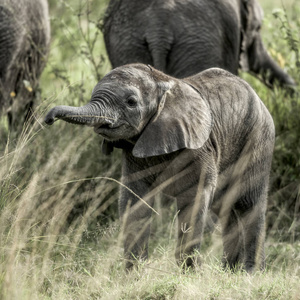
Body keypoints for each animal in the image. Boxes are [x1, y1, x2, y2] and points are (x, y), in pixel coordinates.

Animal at [44, 64, 274, 274]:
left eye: (131, 102)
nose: (48, 118)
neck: (164, 82)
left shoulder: (200, 148)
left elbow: (193, 200)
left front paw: (188, 275)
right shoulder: (134, 154)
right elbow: (134, 202)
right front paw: (134, 276)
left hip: (257, 138)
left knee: (248, 203)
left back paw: (250, 273)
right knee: (226, 208)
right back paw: (229, 272)